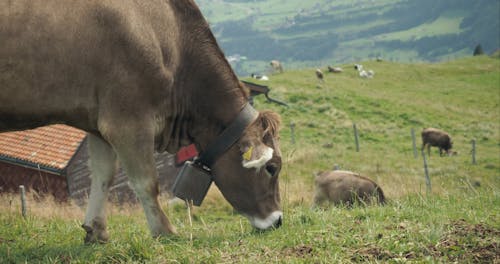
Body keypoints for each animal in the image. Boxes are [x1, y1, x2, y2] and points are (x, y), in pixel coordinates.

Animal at [0, 0, 284, 243]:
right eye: (272, 168)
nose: (278, 220)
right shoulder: (127, 120)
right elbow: (147, 182)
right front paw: (165, 231)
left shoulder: (98, 122)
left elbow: (103, 175)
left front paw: (97, 230)